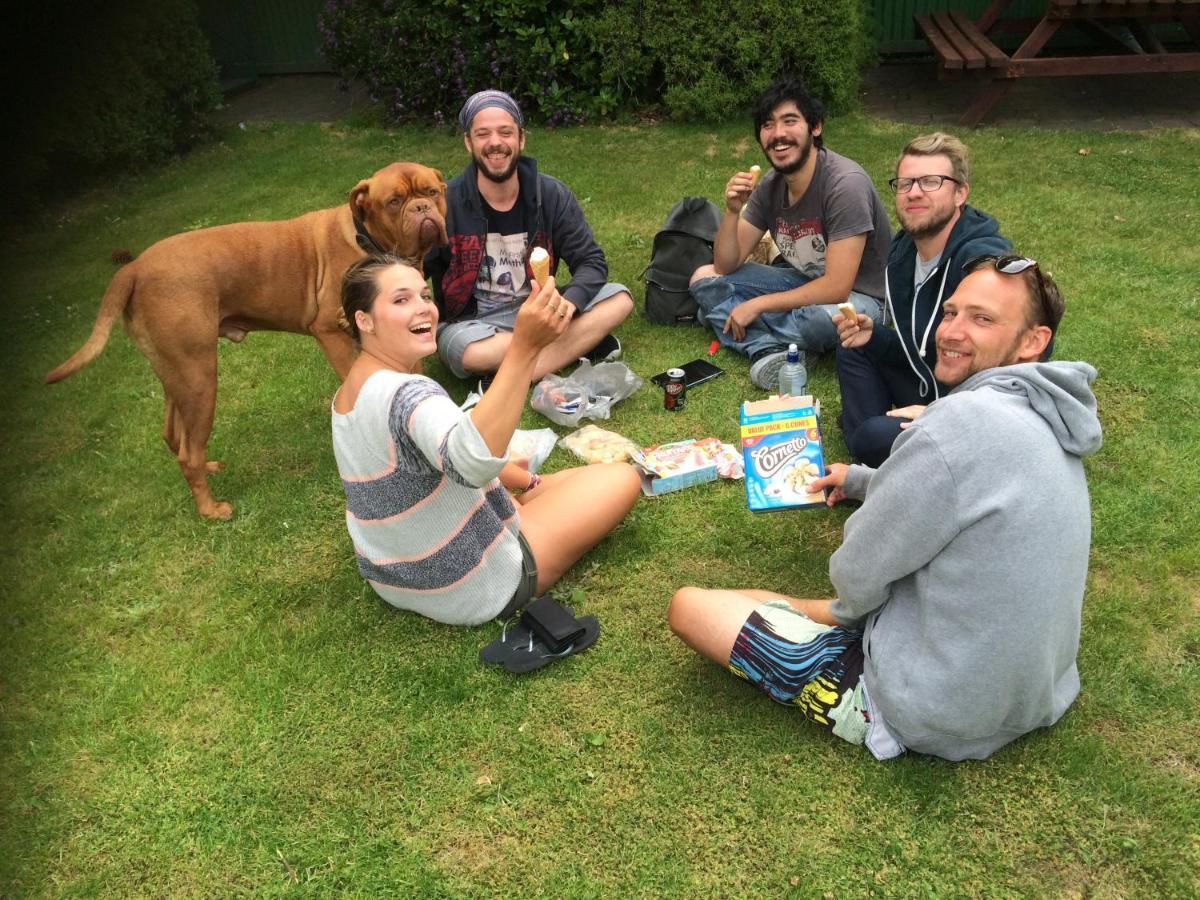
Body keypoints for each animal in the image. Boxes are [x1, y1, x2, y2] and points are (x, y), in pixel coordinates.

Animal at [44, 162, 451, 520]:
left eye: (432, 191)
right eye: (394, 201)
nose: (421, 207)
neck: (370, 241)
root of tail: (133, 267)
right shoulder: (331, 331)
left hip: (177, 374)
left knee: (176, 436)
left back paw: (206, 468)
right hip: (200, 377)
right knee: (187, 452)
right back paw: (210, 510)